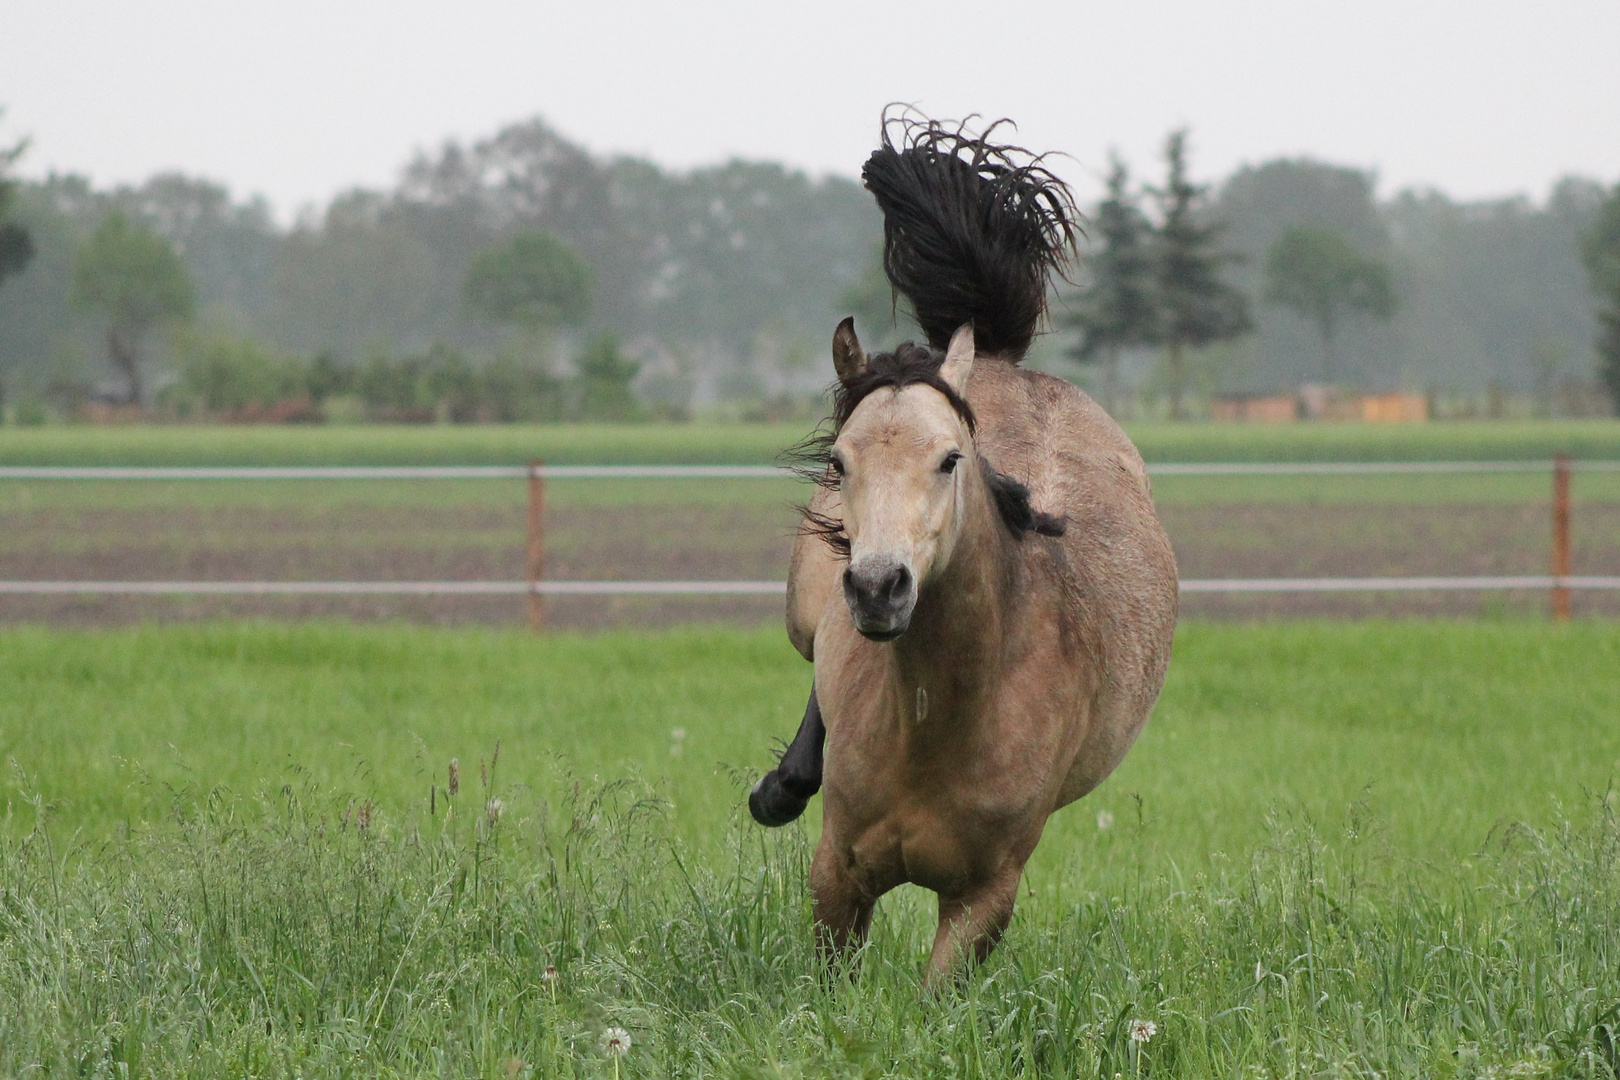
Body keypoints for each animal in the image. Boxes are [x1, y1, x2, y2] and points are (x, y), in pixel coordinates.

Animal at [745, 118, 1179, 990]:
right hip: (806, 615)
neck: (939, 720)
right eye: (839, 460)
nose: (878, 588)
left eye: (951, 459)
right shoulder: (836, 875)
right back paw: (782, 786)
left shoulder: (982, 899)